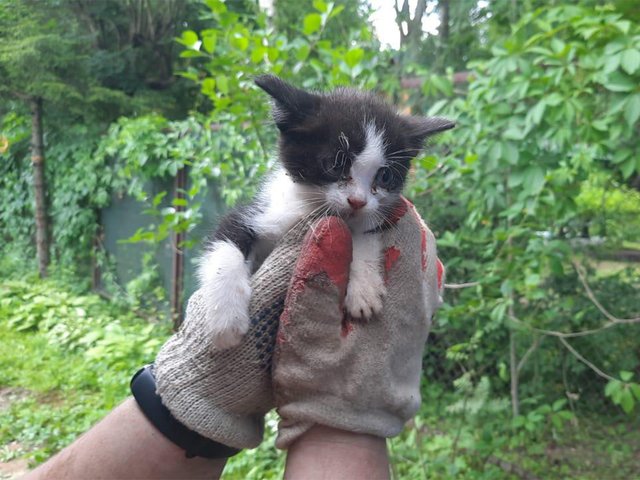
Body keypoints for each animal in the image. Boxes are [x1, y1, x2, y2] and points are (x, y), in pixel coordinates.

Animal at [198, 77, 452, 350]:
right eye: (334, 165)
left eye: (385, 176)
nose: (357, 201)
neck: (309, 205)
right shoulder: (258, 212)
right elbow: (227, 241)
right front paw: (226, 318)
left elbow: (363, 230)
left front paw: (364, 287)